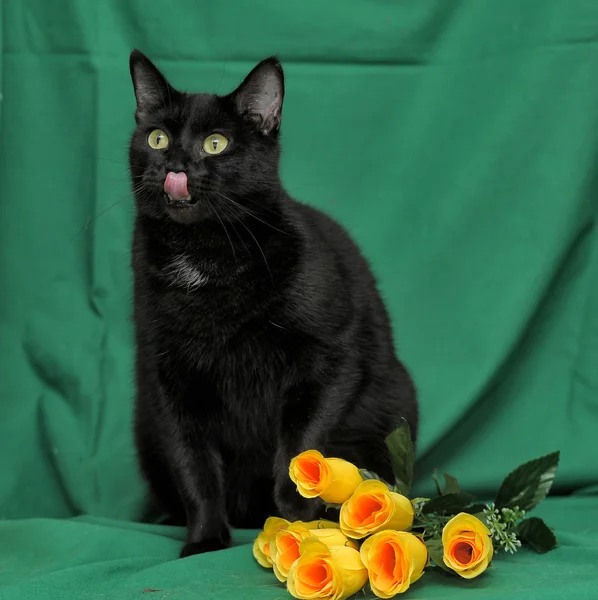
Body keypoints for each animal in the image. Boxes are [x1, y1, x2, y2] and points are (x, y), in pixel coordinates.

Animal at [127, 50, 418, 556]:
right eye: (157, 138)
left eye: (216, 143)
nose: (176, 163)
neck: (204, 255)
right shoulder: (166, 377)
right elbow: (192, 463)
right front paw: (204, 539)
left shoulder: (330, 357)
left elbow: (302, 444)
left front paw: (299, 519)